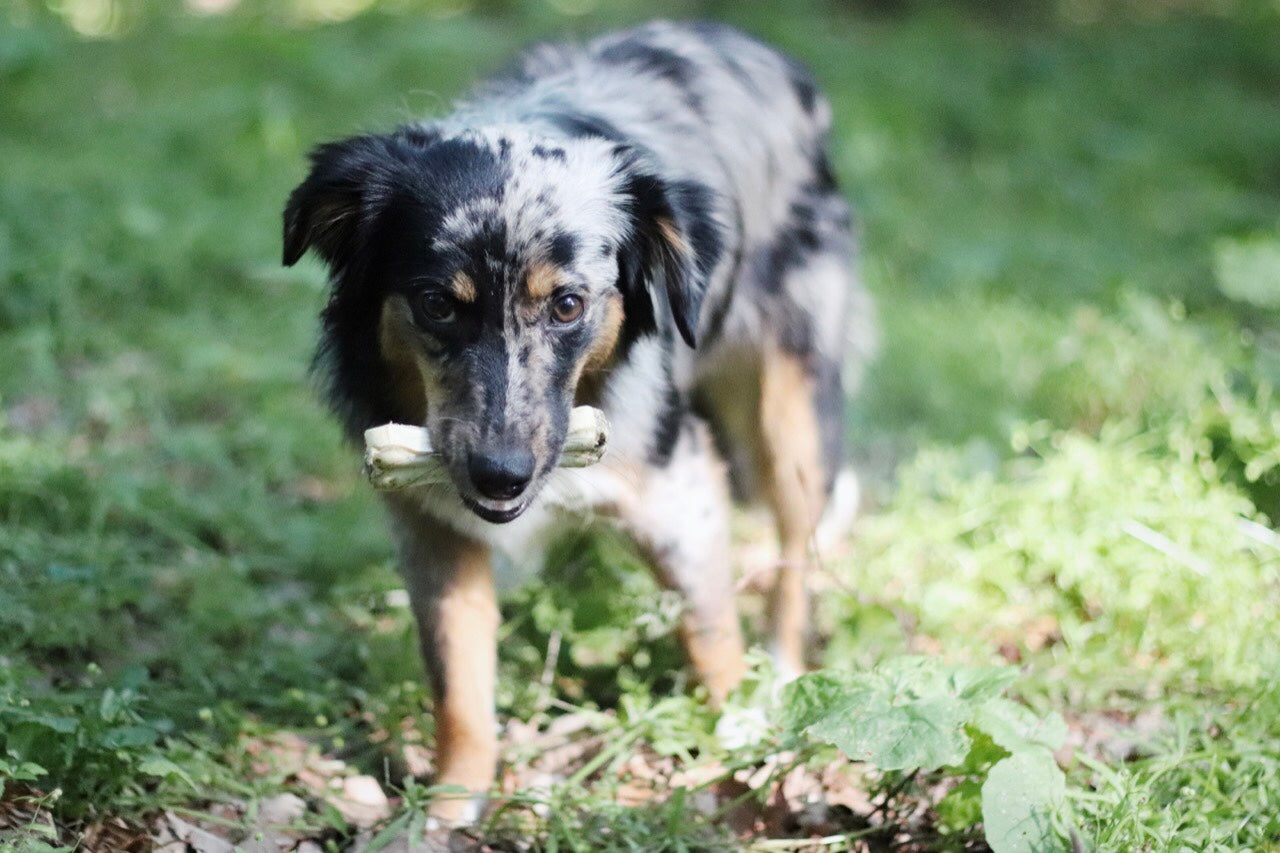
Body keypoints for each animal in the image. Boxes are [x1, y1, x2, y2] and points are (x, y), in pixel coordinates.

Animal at [285, 18, 875, 819]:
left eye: (568, 304)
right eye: (437, 303)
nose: (500, 477)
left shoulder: (680, 492)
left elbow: (713, 640)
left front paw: (742, 765)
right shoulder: (434, 527)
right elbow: (459, 686)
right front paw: (448, 807)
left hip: (792, 413)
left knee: (794, 556)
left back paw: (783, 672)